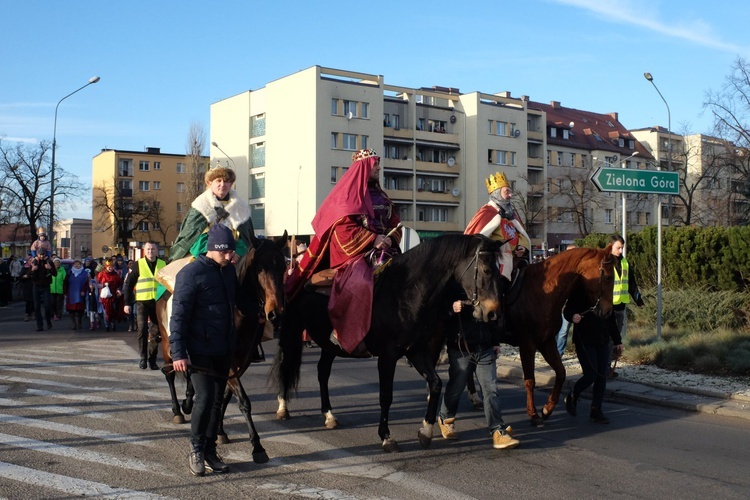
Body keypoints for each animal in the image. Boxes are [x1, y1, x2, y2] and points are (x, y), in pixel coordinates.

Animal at [156, 232, 288, 462]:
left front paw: (219, 431)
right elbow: (242, 400)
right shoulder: (229, 362)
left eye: (283, 267)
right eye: (259, 268)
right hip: (167, 343)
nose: (276, 313)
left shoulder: (239, 361)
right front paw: (257, 446)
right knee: (171, 374)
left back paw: (188, 402)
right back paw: (178, 411)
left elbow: (224, 396)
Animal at [274, 234, 502, 454]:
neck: (406, 294)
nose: (492, 312)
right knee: (286, 365)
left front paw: (426, 431)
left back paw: (329, 415)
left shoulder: (416, 350)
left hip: (328, 344)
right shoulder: (387, 356)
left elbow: (436, 384)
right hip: (291, 331)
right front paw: (386, 437)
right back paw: (283, 406)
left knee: (323, 372)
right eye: (486, 269)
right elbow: (386, 395)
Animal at [506, 244, 616, 428]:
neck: (542, 290)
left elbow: (561, 373)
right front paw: (534, 414)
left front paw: (548, 408)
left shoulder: (547, 342)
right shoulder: (527, 345)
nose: (608, 312)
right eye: (608, 277)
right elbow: (530, 380)